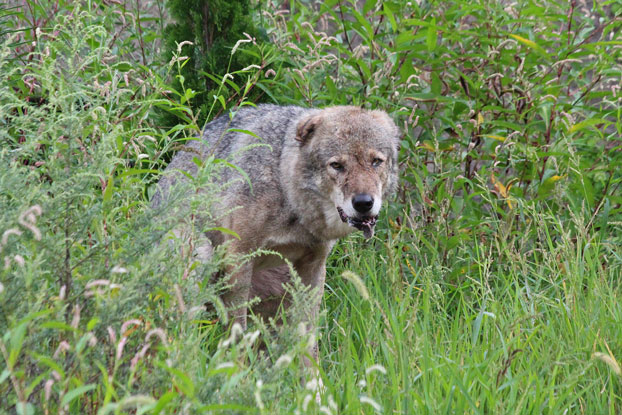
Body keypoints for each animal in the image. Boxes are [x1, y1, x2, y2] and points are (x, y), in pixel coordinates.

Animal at [154, 105, 402, 362]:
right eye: (336, 165)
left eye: (376, 162)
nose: (363, 203)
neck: (286, 189)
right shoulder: (239, 257)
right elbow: (238, 333)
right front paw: (237, 369)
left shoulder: (315, 266)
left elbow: (307, 339)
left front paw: (312, 375)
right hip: (200, 254)